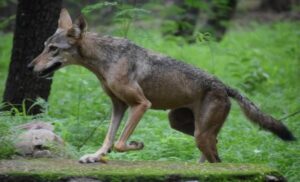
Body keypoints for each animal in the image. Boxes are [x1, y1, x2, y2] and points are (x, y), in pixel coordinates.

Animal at [27, 9, 296, 164]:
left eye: (54, 49)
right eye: (44, 46)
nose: (29, 66)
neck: (105, 60)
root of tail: (224, 85)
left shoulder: (140, 104)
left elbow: (120, 143)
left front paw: (137, 145)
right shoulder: (118, 106)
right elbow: (108, 138)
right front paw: (95, 156)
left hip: (200, 133)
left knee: (217, 158)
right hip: (181, 124)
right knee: (215, 150)